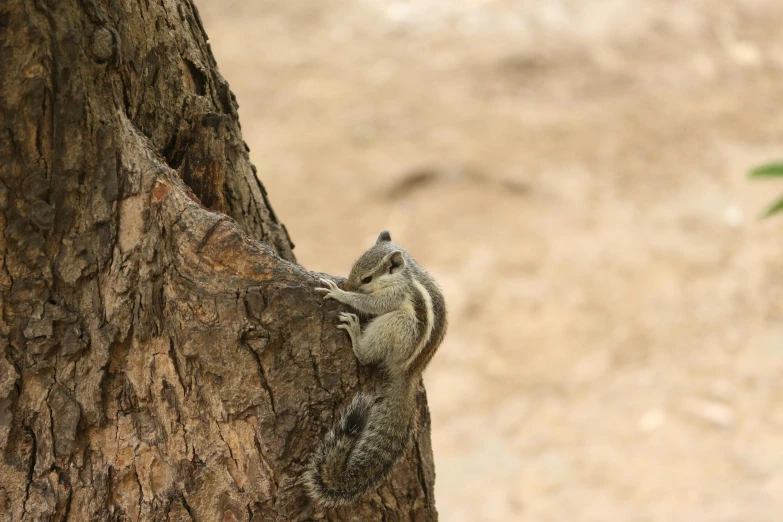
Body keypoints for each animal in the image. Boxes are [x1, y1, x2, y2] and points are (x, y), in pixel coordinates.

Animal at [304, 229, 448, 504]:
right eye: (353, 267)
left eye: (367, 278)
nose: (348, 285)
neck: (404, 273)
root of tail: (407, 373)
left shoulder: (393, 295)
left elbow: (372, 304)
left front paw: (340, 294)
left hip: (396, 325)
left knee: (367, 354)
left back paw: (356, 335)